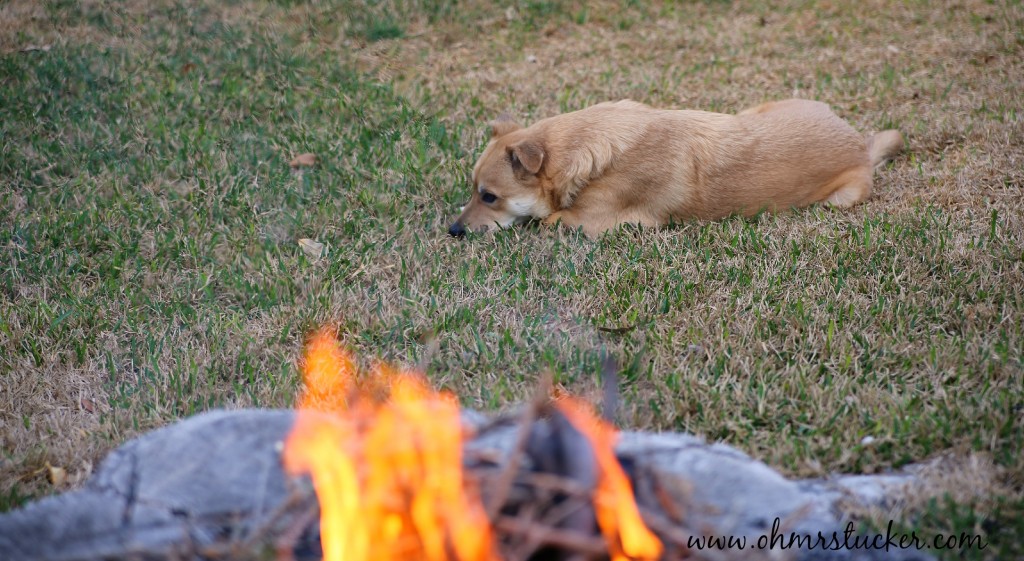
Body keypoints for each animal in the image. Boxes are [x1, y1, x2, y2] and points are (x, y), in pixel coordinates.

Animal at [448, 99, 905, 237]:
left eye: (489, 196)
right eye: (471, 190)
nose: (452, 230)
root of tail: (860, 144)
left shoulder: (596, 222)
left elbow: (545, 220)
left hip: (840, 199)